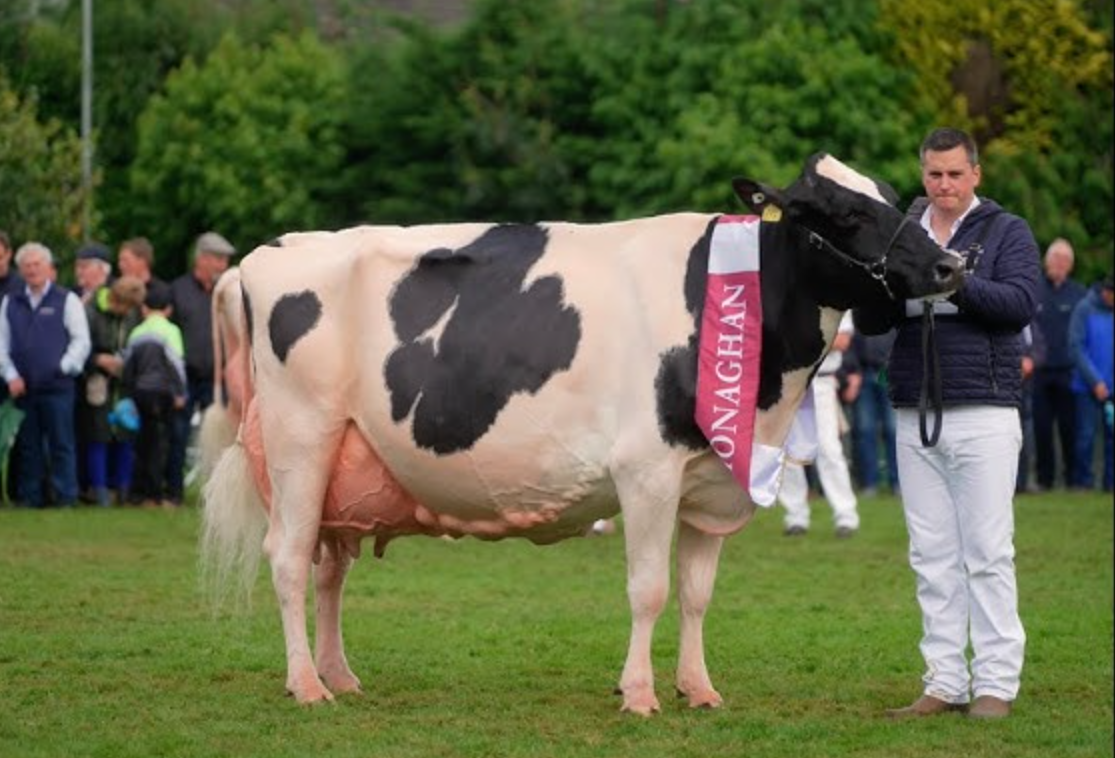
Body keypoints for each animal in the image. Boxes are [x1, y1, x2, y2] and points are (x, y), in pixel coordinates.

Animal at [202, 152, 967, 708]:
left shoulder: (710, 477)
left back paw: (339, 676)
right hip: (302, 438)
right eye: (843, 212)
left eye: (894, 196)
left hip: (346, 463)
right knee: (287, 559)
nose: (949, 264)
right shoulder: (647, 469)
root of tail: (260, 257)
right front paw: (639, 694)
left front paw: (699, 690)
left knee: (329, 569)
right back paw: (306, 685)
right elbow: (648, 589)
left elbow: (696, 593)